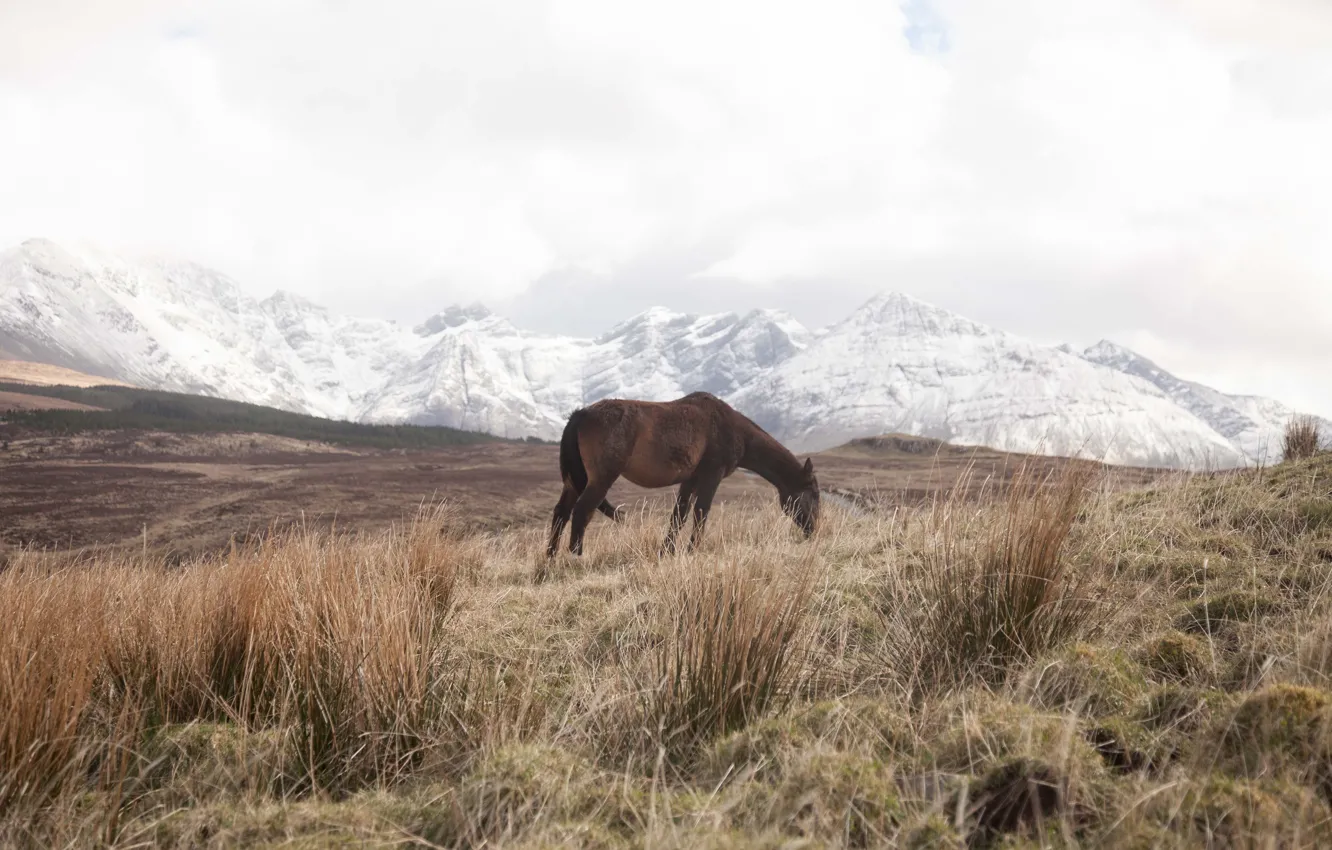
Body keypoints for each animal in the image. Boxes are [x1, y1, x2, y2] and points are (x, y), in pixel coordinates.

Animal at [546, 391, 820, 557]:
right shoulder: (712, 475)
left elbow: (679, 514)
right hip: (601, 479)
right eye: (814, 494)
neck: (731, 428)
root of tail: (581, 414)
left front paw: (667, 551)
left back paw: (550, 559)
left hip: (573, 482)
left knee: (561, 513)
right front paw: (692, 550)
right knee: (582, 512)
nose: (813, 531)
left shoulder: (691, 479)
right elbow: (701, 512)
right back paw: (576, 557)